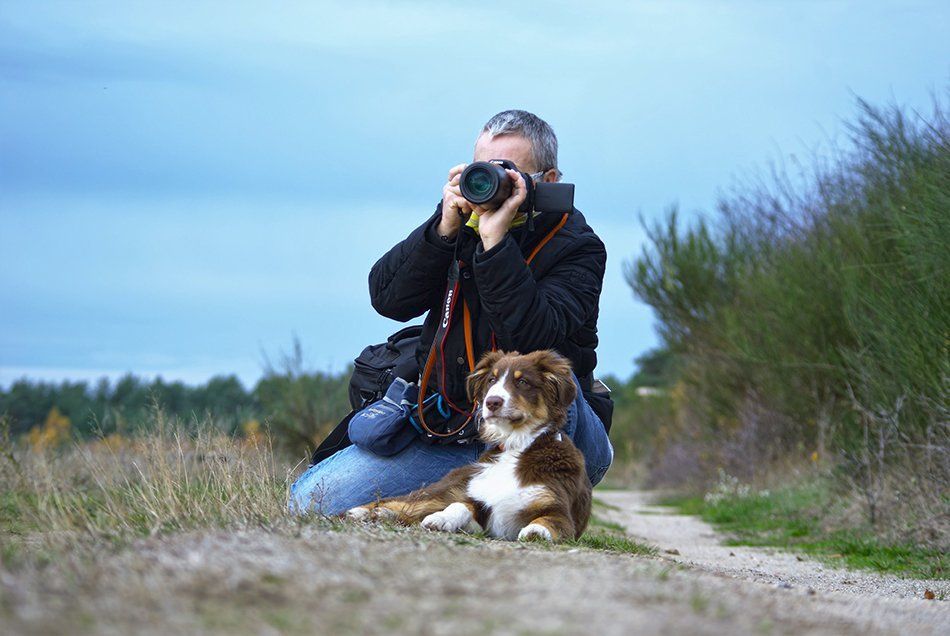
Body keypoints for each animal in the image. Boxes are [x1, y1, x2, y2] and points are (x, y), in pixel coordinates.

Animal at [346, 349, 592, 542]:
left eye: (522, 382)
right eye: (491, 380)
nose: (492, 402)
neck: (515, 445)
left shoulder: (559, 510)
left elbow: (549, 521)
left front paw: (535, 531)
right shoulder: (477, 500)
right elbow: (460, 505)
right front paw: (440, 518)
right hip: (448, 487)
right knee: (407, 502)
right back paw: (362, 512)